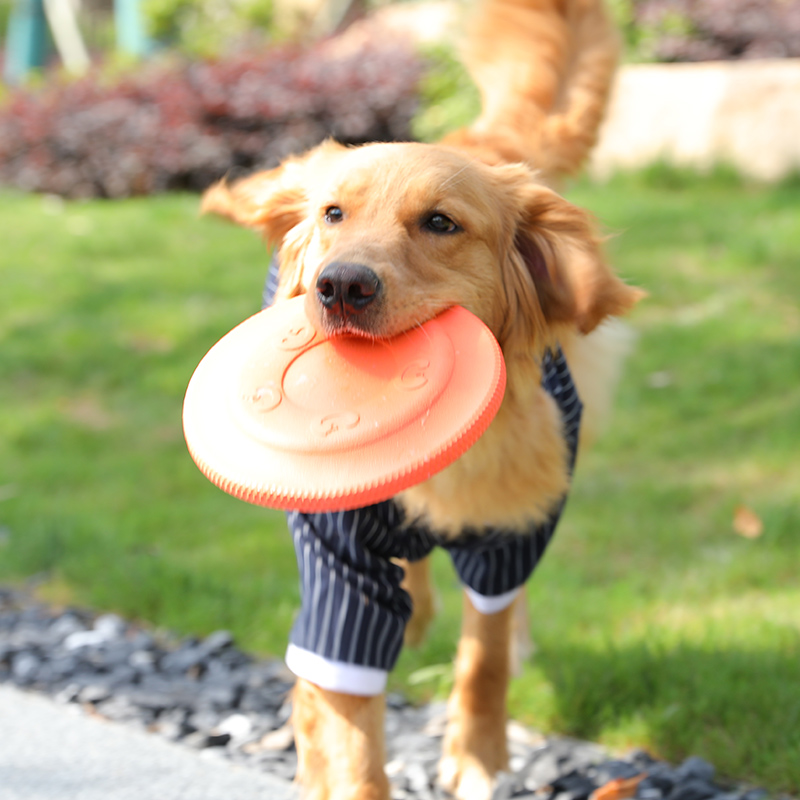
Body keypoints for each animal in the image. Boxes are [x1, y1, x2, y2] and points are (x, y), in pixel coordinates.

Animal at [202, 3, 644, 796]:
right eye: (334, 214)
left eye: (441, 222)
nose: (340, 286)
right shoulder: (338, 570)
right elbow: (348, 727)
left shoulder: (508, 534)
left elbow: (485, 651)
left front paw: (478, 756)